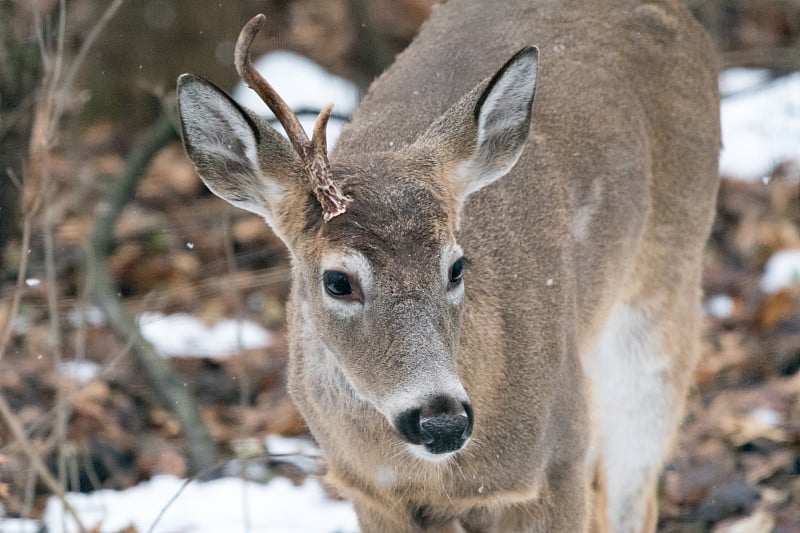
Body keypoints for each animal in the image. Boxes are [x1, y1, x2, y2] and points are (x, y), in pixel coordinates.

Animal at [175, 1, 720, 528]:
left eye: (457, 267)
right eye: (337, 281)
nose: (442, 421)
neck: (436, 477)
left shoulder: (559, 457)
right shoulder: (370, 493)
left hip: (659, 300)